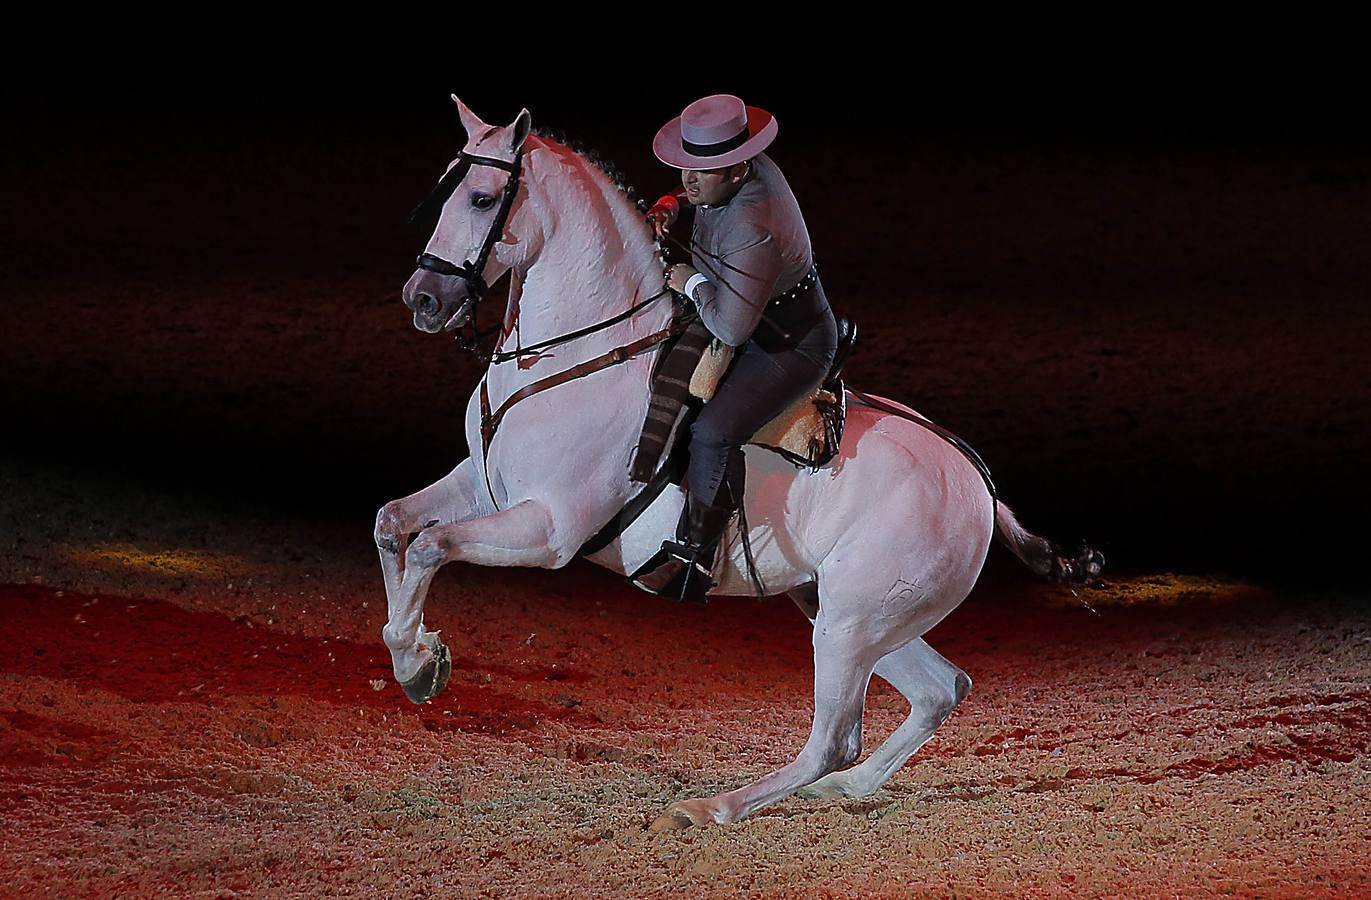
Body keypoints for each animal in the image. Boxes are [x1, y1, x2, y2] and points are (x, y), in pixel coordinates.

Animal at [370, 96, 1096, 828]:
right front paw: (416, 661)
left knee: (835, 738)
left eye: (483, 198)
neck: (582, 355)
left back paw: (709, 807)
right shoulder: (483, 487)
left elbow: (431, 546)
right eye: (444, 194)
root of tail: (977, 481)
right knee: (939, 690)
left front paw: (418, 663)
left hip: (851, 625)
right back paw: (841, 791)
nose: (423, 299)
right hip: (852, 613)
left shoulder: (549, 531)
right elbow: (392, 523)